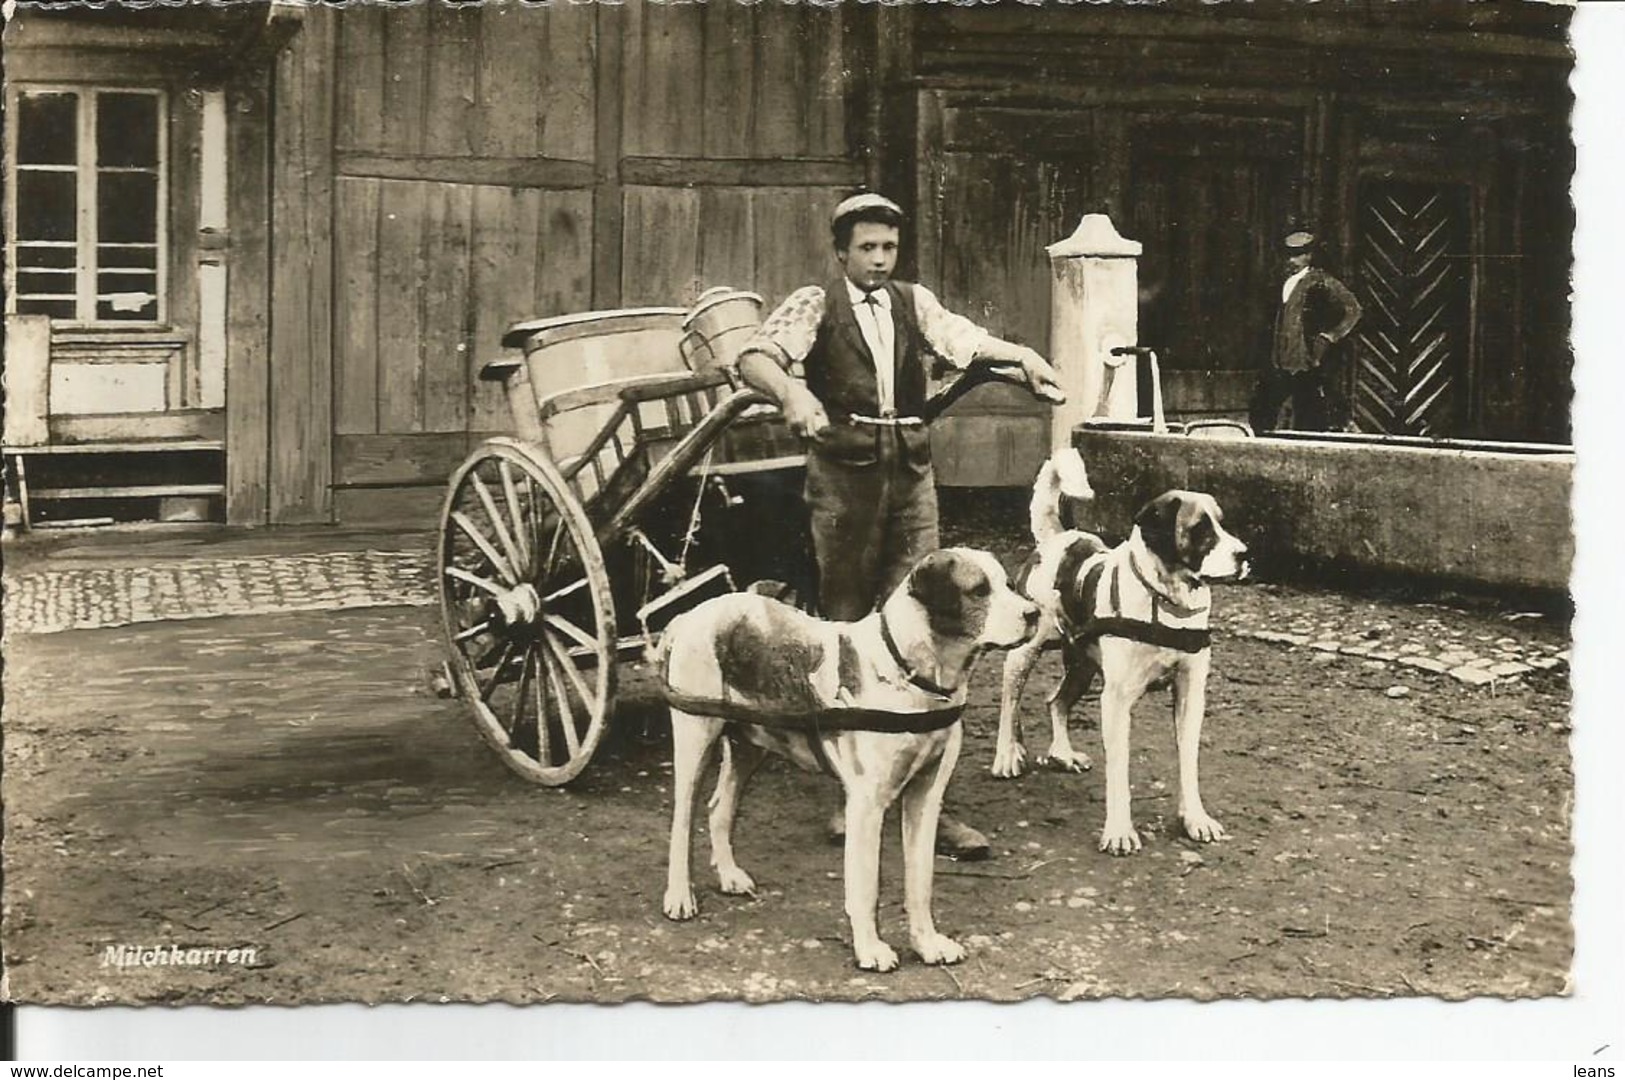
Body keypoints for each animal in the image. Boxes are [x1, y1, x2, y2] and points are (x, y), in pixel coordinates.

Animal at [653, 548, 1033, 967]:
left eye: (1009, 585)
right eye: (979, 590)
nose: (1034, 614)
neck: (910, 673)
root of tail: (692, 614)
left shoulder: (926, 796)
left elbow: (920, 880)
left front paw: (927, 943)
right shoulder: (867, 805)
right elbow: (866, 887)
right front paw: (870, 949)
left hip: (751, 743)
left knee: (719, 807)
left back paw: (729, 875)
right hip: (695, 737)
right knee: (682, 821)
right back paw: (679, 896)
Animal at [988, 444, 1241, 851]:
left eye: (1222, 524)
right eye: (1200, 529)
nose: (1245, 555)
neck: (1164, 600)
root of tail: (1057, 539)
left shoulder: (1190, 694)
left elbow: (1189, 761)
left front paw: (1195, 819)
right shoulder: (1117, 700)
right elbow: (1119, 770)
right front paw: (1120, 831)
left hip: (1083, 666)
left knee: (1056, 701)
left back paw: (1062, 753)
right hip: (1026, 651)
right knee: (1010, 700)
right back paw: (1007, 754)